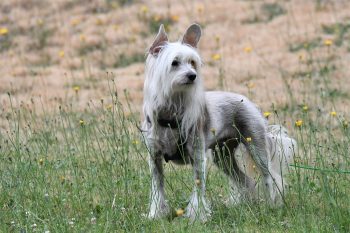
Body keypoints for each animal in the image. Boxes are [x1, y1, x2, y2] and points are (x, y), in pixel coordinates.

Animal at [141, 23, 296, 222]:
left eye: (193, 63)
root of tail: (248, 101)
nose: (192, 76)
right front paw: (156, 215)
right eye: (174, 63)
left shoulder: (198, 156)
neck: (172, 110)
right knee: (245, 180)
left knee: (270, 178)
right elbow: (157, 188)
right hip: (223, 156)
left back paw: (272, 205)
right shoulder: (155, 158)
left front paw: (198, 216)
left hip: (256, 148)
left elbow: (198, 187)